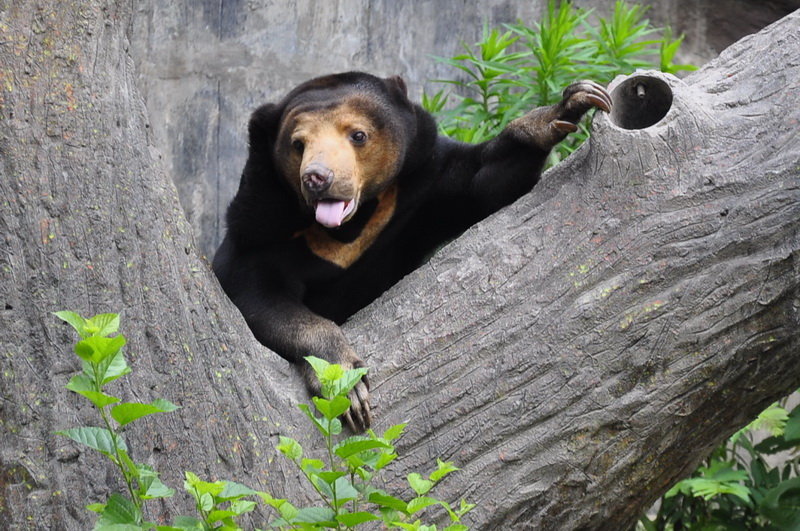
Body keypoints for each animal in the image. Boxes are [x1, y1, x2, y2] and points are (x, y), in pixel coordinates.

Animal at [209, 71, 608, 432]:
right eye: (297, 144)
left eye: (358, 135)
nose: (317, 178)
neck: (347, 228)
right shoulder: (258, 228)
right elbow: (259, 297)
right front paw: (347, 385)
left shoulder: (422, 185)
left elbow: (484, 182)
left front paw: (572, 103)